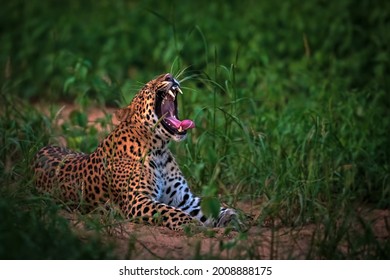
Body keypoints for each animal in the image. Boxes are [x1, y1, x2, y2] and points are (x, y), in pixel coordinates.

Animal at [33, 72, 241, 230]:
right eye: (148, 87)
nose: (170, 76)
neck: (159, 150)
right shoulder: (138, 200)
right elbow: (170, 211)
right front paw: (192, 226)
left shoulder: (184, 199)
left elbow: (208, 207)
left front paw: (230, 217)